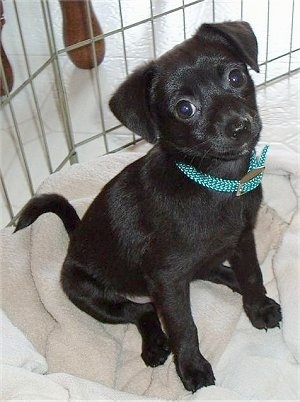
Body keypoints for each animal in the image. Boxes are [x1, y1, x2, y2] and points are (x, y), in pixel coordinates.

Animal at [14, 22, 282, 392]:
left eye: (236, 76)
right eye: (184, 109)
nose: (240, 125)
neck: (213, 181)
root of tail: (75, 236)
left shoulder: (242, 239)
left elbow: (253, 274)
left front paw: (257, 307)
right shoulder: (167, 279)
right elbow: (183, 326)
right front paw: (192, 367)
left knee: (201, 274)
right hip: (83, 291)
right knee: (142, 311)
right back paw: (155, 344)